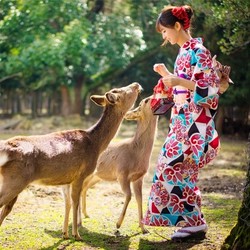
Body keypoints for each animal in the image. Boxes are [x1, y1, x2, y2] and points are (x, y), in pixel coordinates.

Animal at [0, 82, 142, 240]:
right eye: (124, 91)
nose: (136, 84)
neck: (96, 144)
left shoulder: (66, 179)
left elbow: (67, 203)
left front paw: (65, 233)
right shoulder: (80, 174)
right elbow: (75, 201)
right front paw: (76, 234)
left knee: (6, 209)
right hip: (15, 180)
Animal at [73, 96, 158, 233]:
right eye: (145, 101)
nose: (153, 96)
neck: (136, 153)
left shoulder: (139, 177)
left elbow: (139, 199)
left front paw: (144, 228)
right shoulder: (122, 173)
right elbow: (129, 195)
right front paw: (118, 224)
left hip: (96, 176)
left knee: (84, 188)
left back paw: (86, 215)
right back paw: (80, 221)